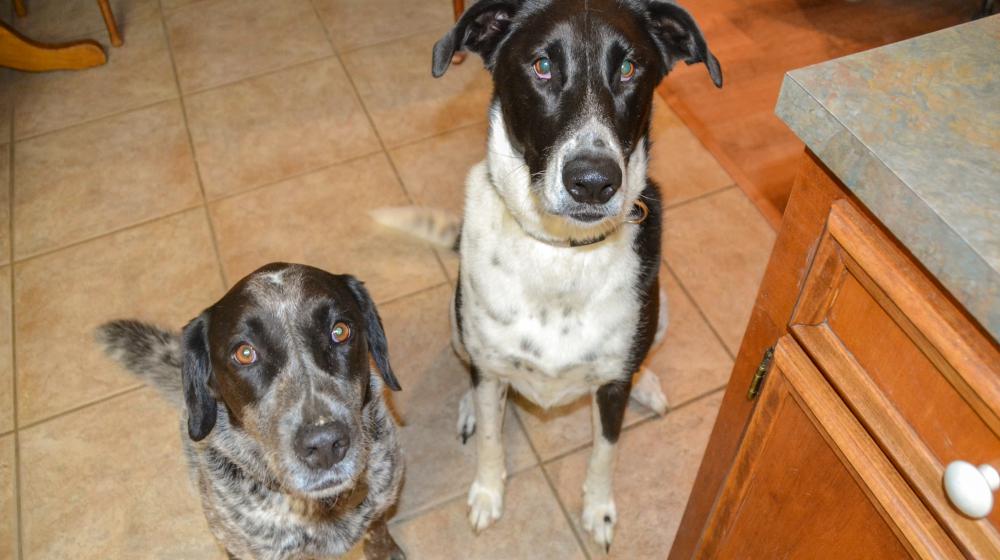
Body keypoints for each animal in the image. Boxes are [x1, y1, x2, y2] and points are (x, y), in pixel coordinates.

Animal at [376, 0, 720, 552]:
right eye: (542, 66)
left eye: (629, 68)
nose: (594, 181)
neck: (563, 254)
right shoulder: (488, 360)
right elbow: (491, 436)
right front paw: (487, 492)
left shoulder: (612, 388)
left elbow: (606, 449)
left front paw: (599, 510)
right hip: (456, 323)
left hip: (663, 309)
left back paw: (646, 385)